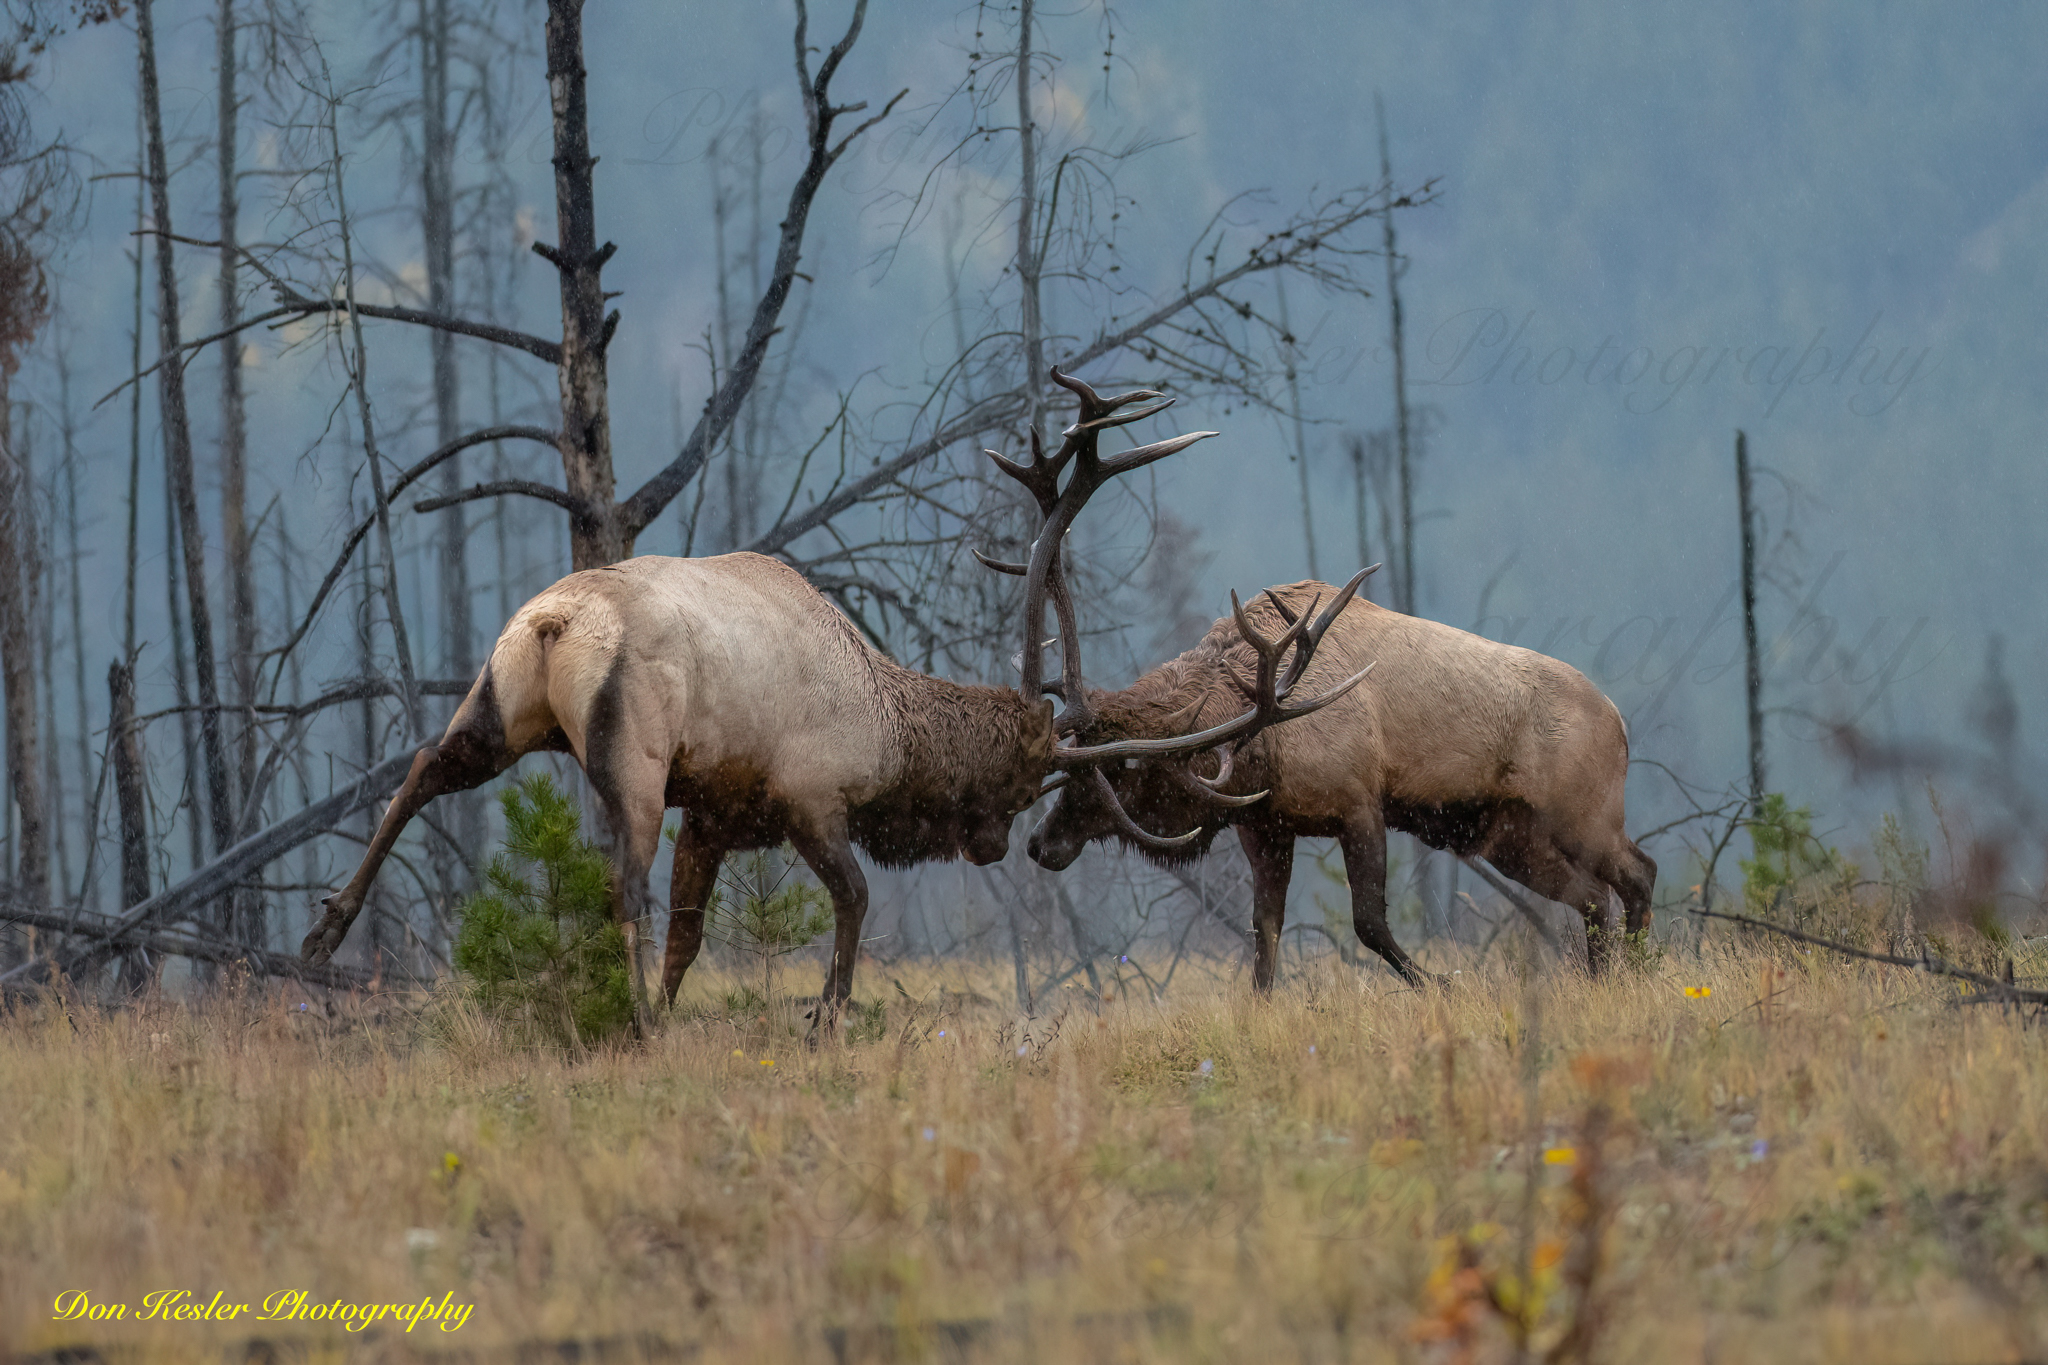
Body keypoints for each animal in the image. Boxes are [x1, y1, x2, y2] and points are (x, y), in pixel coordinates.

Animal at [296, 368, 1368, 1031]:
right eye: (1025, 780)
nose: (1005, 846)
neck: (889, 726)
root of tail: (558, 623)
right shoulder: (807, 795)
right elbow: (851, 897)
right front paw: (825, 1012)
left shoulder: (719, 811)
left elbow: (692, 932)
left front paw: (689, 1007)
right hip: (631, 751)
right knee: (615, 876)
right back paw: (625, 1013)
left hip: (504, 702)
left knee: (426, 766)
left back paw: (324, 930)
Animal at [1032, 581, 1654, 986]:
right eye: (1074, 762)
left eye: (1120, 770)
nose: (1041, 842)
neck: (1263, 742)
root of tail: (1621, 720)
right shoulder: (1266, 828)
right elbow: (1265, 935)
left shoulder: (1360, 806)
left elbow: (1370, 923)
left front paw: (1446, 985)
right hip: (1506, 836)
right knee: (1593, 896)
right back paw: (1607, 980)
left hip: (1584, 817)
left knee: (1638, 874)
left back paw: (1641, 971)